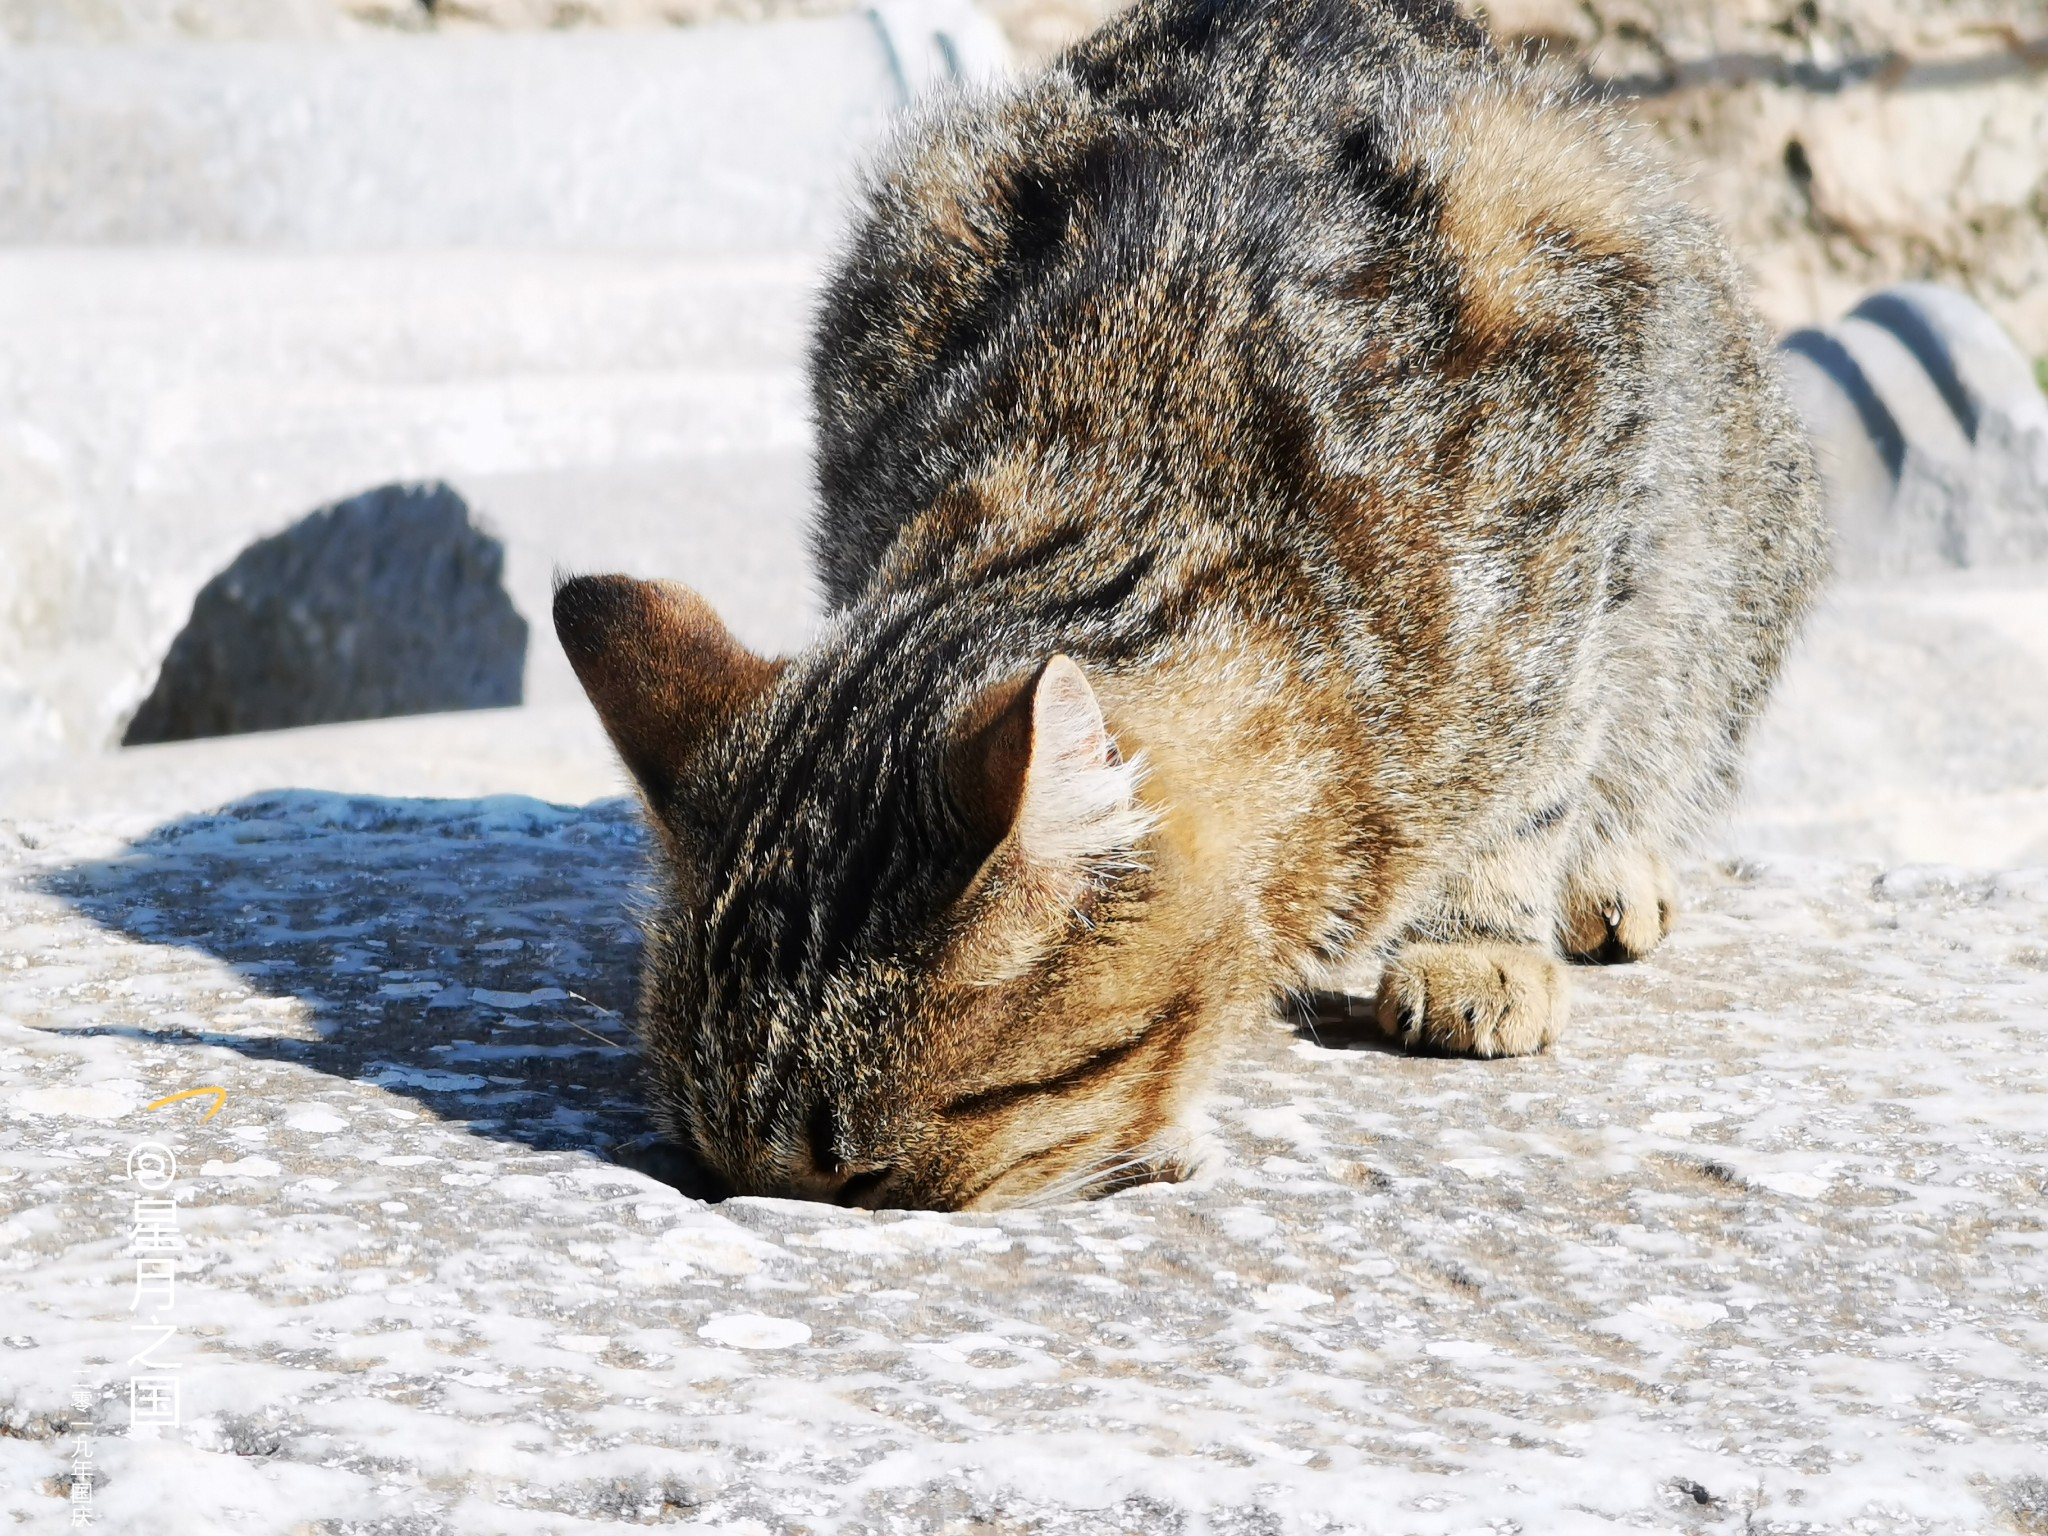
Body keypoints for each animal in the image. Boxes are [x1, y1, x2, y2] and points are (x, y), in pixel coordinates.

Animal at [557, 0, 1826, 1212]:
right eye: (706, 1160)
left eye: (861, 1175)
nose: (766, 1208)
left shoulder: (1571, 498)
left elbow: (1537, 771)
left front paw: (1478, 942)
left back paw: (1612, 869)